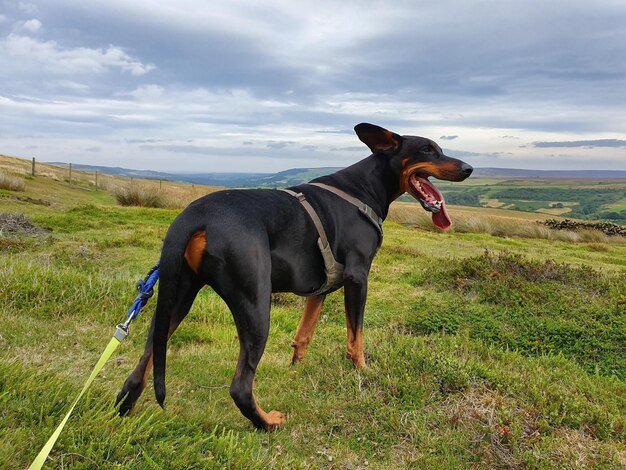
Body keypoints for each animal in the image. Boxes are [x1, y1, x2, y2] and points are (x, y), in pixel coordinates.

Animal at [114, 124, 470, 430]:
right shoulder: (358, 277)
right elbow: (356, 337)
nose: (468, 168)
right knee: (240, 386)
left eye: (441, 149)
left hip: (176, 298)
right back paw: (268, 422)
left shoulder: (322, 287)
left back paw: (125, 414)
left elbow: (304, 334)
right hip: (256, 304)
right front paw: (362, 371)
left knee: (141, 368)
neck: (365, 189)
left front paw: (296, 369)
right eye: (427, 149)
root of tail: (192, 216)